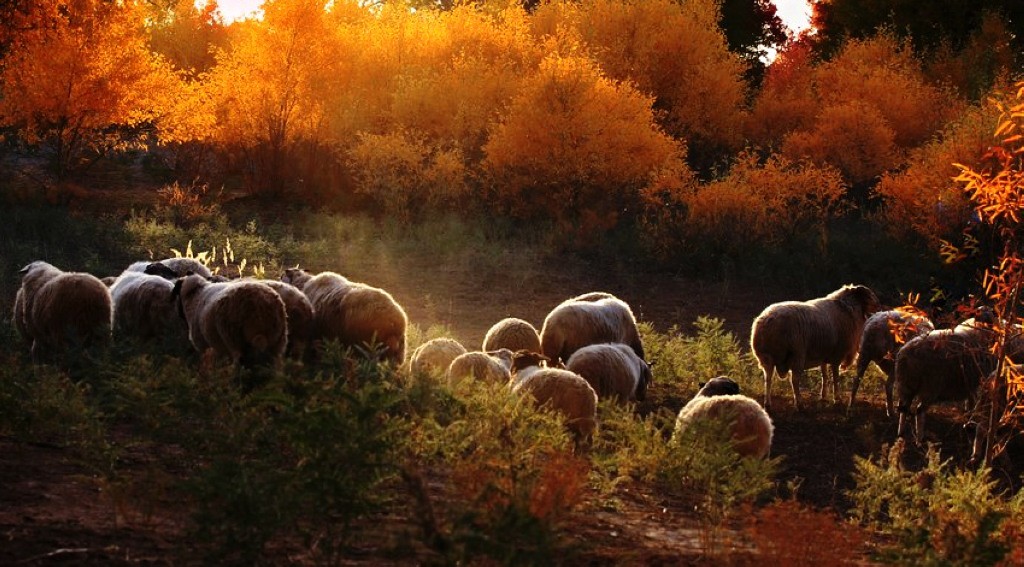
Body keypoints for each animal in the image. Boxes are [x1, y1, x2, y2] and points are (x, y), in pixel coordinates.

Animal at [749, 282, 884, 411]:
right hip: (797, 354)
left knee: (768, 380)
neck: (849, 309)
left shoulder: (823, 354)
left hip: (766, 358)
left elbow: (824, 376)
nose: (879, 307)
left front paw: (823, 397)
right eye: (869, 295)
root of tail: (767, 321)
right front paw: (837, 399)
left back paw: (768, 404)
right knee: (794, 380)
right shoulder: (837, 355)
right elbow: (835, 377)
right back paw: (799, 404)